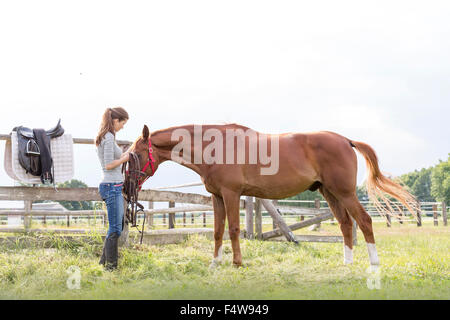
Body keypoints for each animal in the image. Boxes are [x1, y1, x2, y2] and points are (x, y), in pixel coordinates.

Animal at [128, 124, 416, 268]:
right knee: (346, 224)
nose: (128, 186)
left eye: (135, 154)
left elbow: (233, 229)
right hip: (329, 193)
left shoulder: (232, 194)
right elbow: (218, 231)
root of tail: (346, 140)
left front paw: (237, 262)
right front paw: (215, 262)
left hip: (344, 193)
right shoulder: (217, 197)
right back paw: (347, 263)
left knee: (364, 221)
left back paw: (374, 263)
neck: (216, 146)